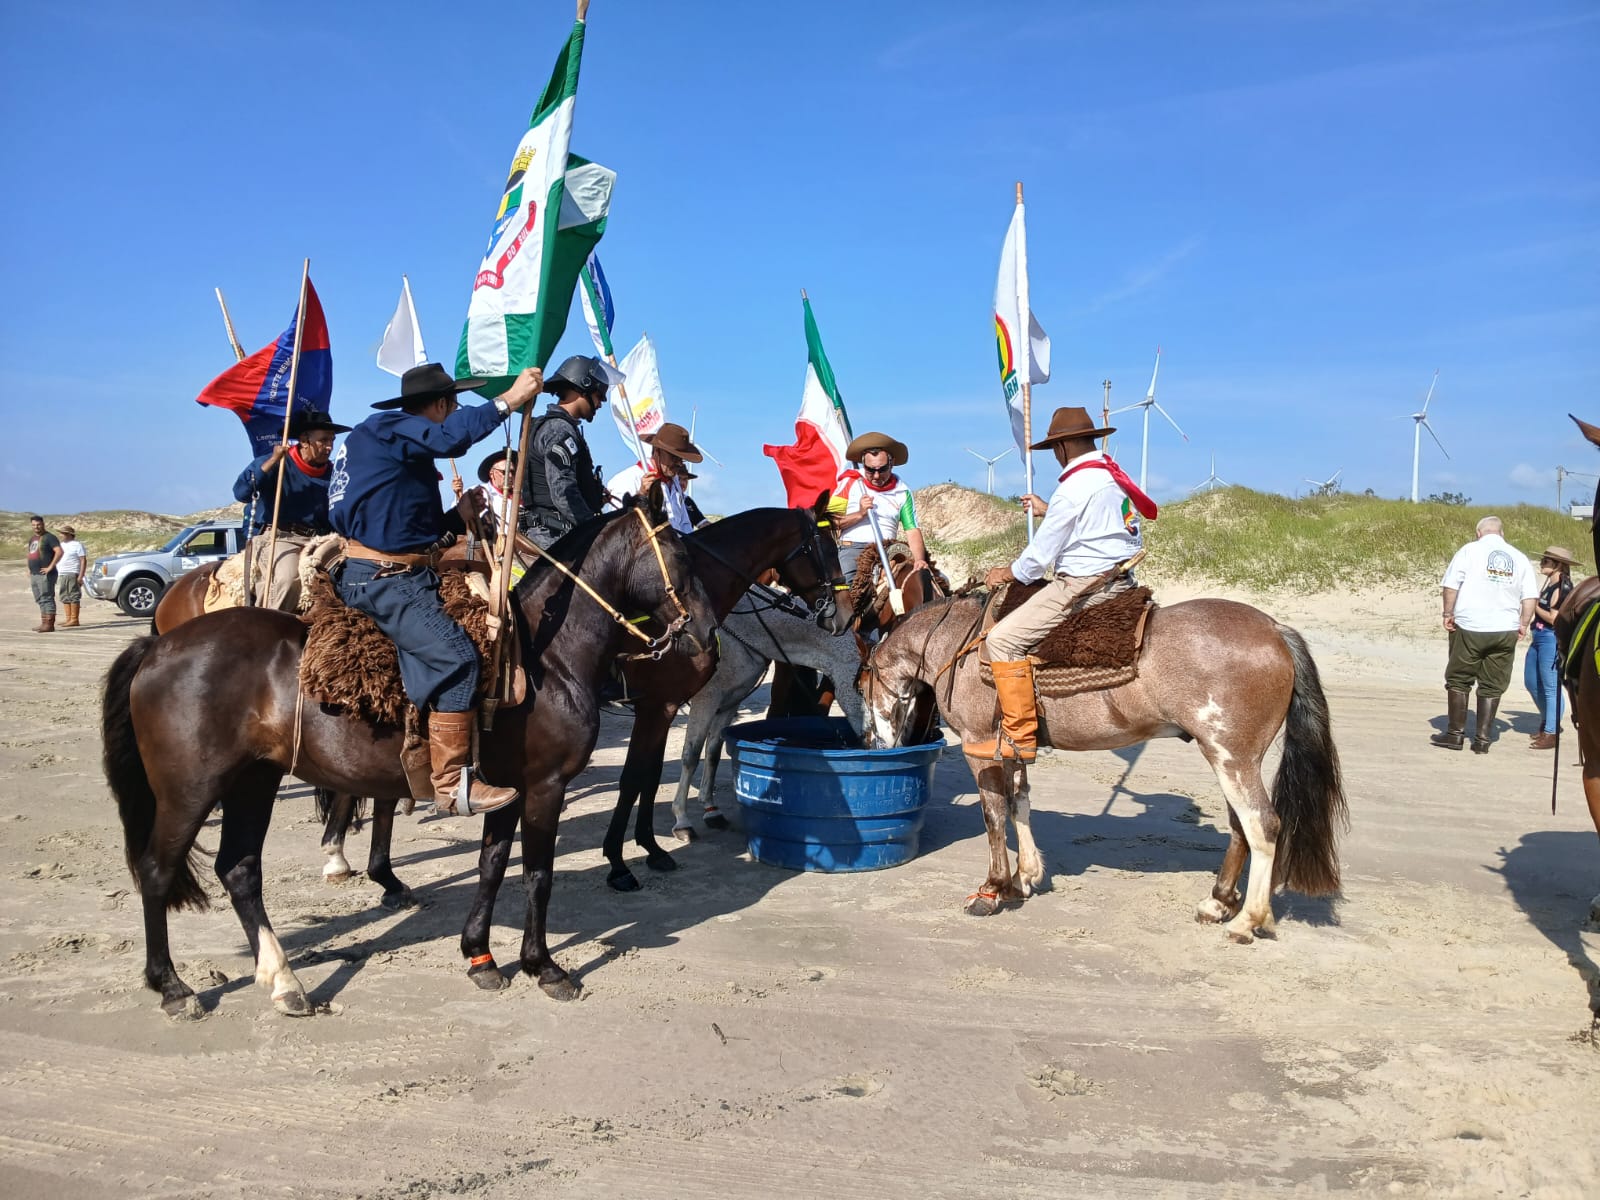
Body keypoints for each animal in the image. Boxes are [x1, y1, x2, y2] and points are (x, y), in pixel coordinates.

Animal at [101, 492, 720, 1017]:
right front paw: (543, 967)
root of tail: (157, 645)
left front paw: (481, 957)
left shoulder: (505, 791)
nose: (710, 632)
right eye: (680, 555)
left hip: (254, 780)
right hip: (190, 790)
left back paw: (283, 982)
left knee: (239, 870)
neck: (546, 658)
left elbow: (492, 866)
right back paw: (173, 987)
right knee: (157, 870)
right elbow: (537, 874)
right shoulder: (546, 786)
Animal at [675, 588, 876, 838]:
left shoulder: (729, 702)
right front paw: (682, 819)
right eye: (861, 688)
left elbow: (713, 751)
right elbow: (691, 756)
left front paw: (710, 809)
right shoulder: (706, 699)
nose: (873, 741)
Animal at [857, 598, 1344, 947]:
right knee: (1240, 825)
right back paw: (1218, 902)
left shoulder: (982, 747)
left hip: (1233, 757)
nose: (870, 743)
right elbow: (1019, 804)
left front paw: (993, 889)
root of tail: (1275, 629)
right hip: (1229, 758)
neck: (958, 644)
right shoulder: (1012, 747)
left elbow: (994, 814)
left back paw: (1246, 921)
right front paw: (1024, 878)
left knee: (1263, 824)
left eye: (861, 684)